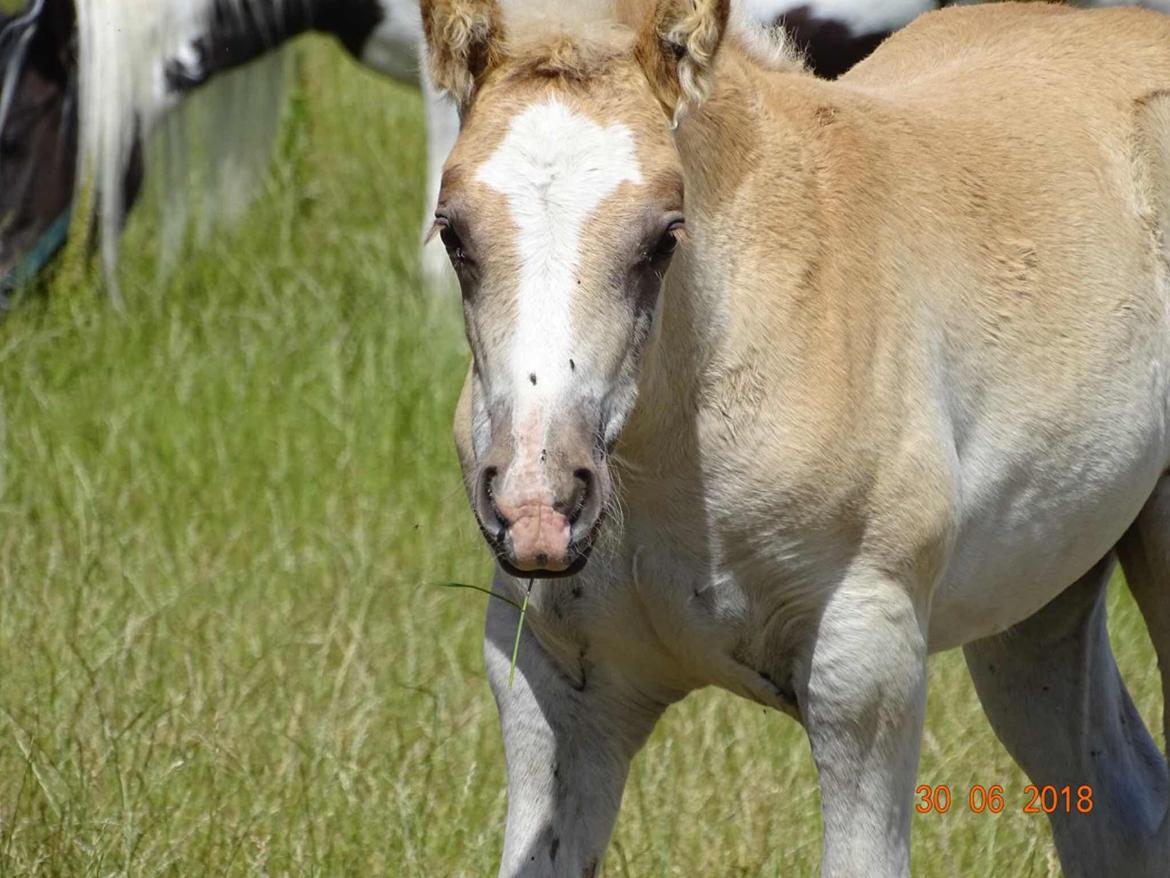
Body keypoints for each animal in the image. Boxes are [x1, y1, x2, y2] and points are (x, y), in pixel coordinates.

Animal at [425, 3, 1170, 875]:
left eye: (663, 237)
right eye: (454, 234)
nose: (538, 506)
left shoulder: (866, 668)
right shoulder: (551, 685)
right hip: (1038, 603)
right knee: (1120, 809)